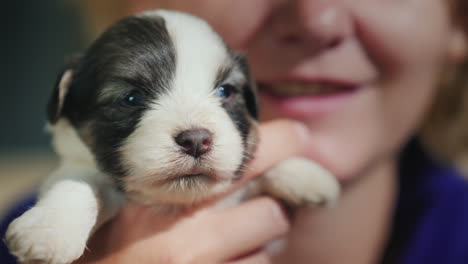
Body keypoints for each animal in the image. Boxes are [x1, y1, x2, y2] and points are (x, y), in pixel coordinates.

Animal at [4, 9, 340, 264]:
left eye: (225, 91)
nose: (196, 140)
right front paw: (48, 231)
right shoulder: (77, 168)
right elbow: (77, 184)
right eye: (130, 98)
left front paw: (306, 174)